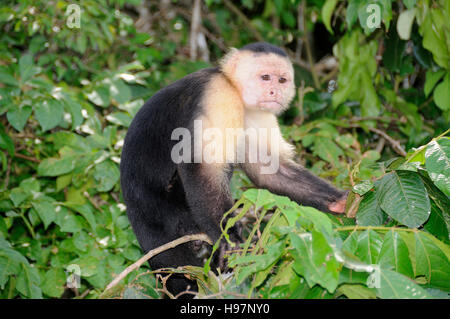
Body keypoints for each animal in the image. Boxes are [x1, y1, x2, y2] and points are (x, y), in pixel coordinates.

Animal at [119, 42, 348, 298]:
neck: (237, 91)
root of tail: (135, 212)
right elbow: (200, 165)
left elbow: (268, 171)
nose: (275, 92)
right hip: (164, 212)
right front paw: (231, 240)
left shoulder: (257, 114)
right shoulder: (219, 95)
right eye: (265, 77)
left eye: (282, 80)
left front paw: (340, 202)